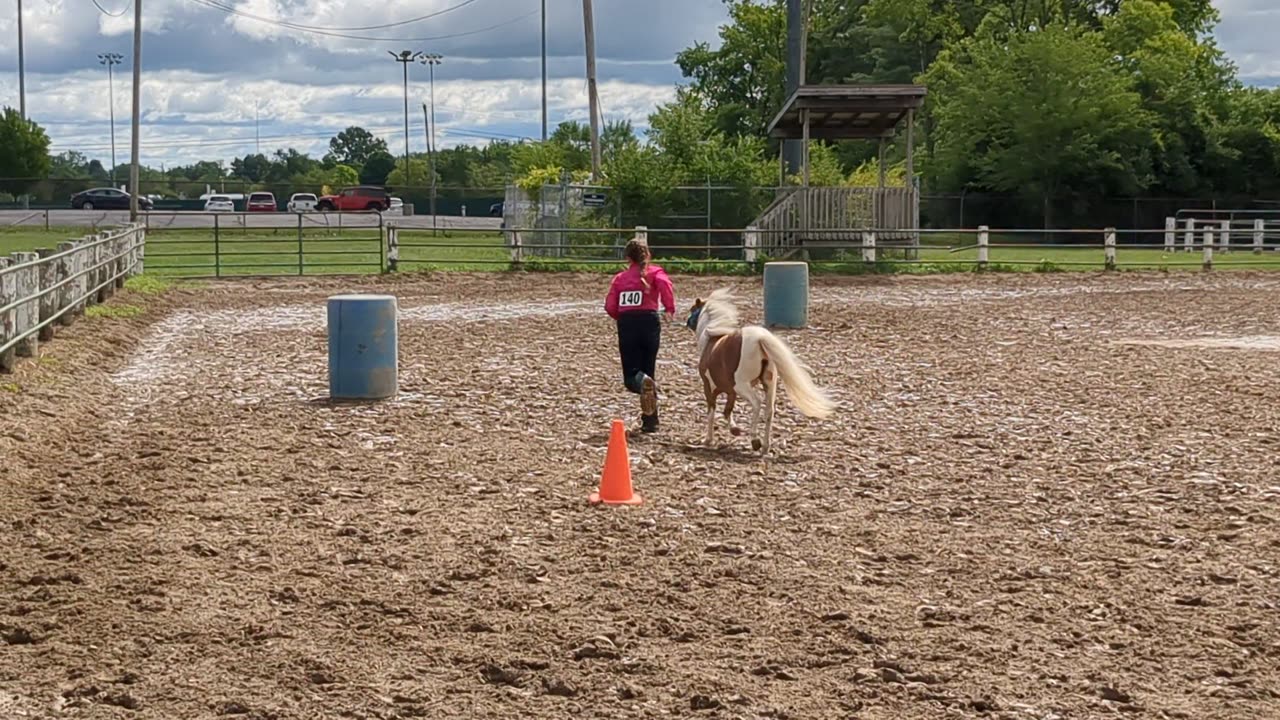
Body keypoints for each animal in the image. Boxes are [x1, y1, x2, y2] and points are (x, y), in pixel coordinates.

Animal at [686, 286, 834, 450]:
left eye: (693, 309)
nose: (687, 323)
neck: (712, 341)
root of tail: (759, 339)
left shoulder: (710, 388)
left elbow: (712, 412)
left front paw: (708, 439)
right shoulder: (731, 391)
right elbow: (727, 410)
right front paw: (735, 430)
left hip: (743, 385)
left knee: (756, 403)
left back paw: (755, 440)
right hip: (769, 384)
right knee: (769, 410)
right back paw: (765, 446)